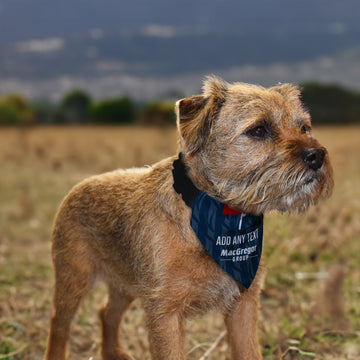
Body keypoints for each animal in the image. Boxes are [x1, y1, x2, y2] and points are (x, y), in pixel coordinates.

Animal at [45, 76, 334, 360]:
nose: (317, 155)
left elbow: (248, 352)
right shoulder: (165, 313)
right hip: (74, 279)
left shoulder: (243, 304)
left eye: (304, 127)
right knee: (59, 322)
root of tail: (78, 186)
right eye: (259, 130)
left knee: (106, 312)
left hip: (124, 284)